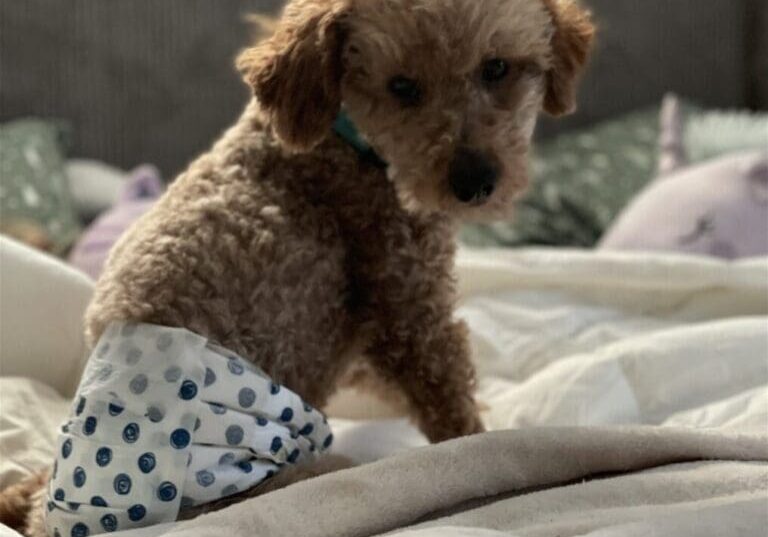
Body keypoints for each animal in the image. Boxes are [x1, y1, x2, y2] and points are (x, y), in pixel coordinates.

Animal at [1, 0, 592, 532]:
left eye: (496, 68)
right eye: (402, 87)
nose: (475, 182)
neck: (345, 139)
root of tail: (67, 519)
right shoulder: (408, 306)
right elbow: (452, 410)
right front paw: (486, 441)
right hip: (312, 475)